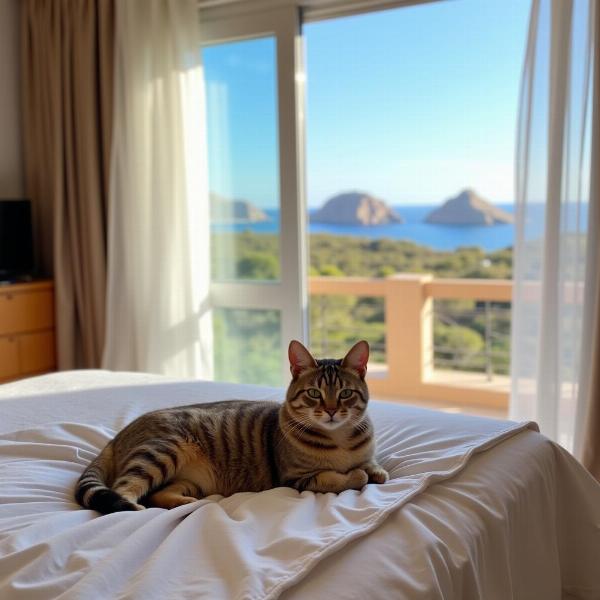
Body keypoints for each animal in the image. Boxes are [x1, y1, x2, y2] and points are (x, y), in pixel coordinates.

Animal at [76, 340, 390, 512]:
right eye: (314, 393)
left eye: (345, 393)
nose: (332, 411)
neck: (339, 439)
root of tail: (117, 437)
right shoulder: (297, 478)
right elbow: (345, 478)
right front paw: (357, 474)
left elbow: (375, 468)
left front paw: (373, 470)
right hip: (160, 453)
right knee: (124, 490)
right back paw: (134, 506)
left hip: (189, 479)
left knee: (157, 494)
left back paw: (188, 505)